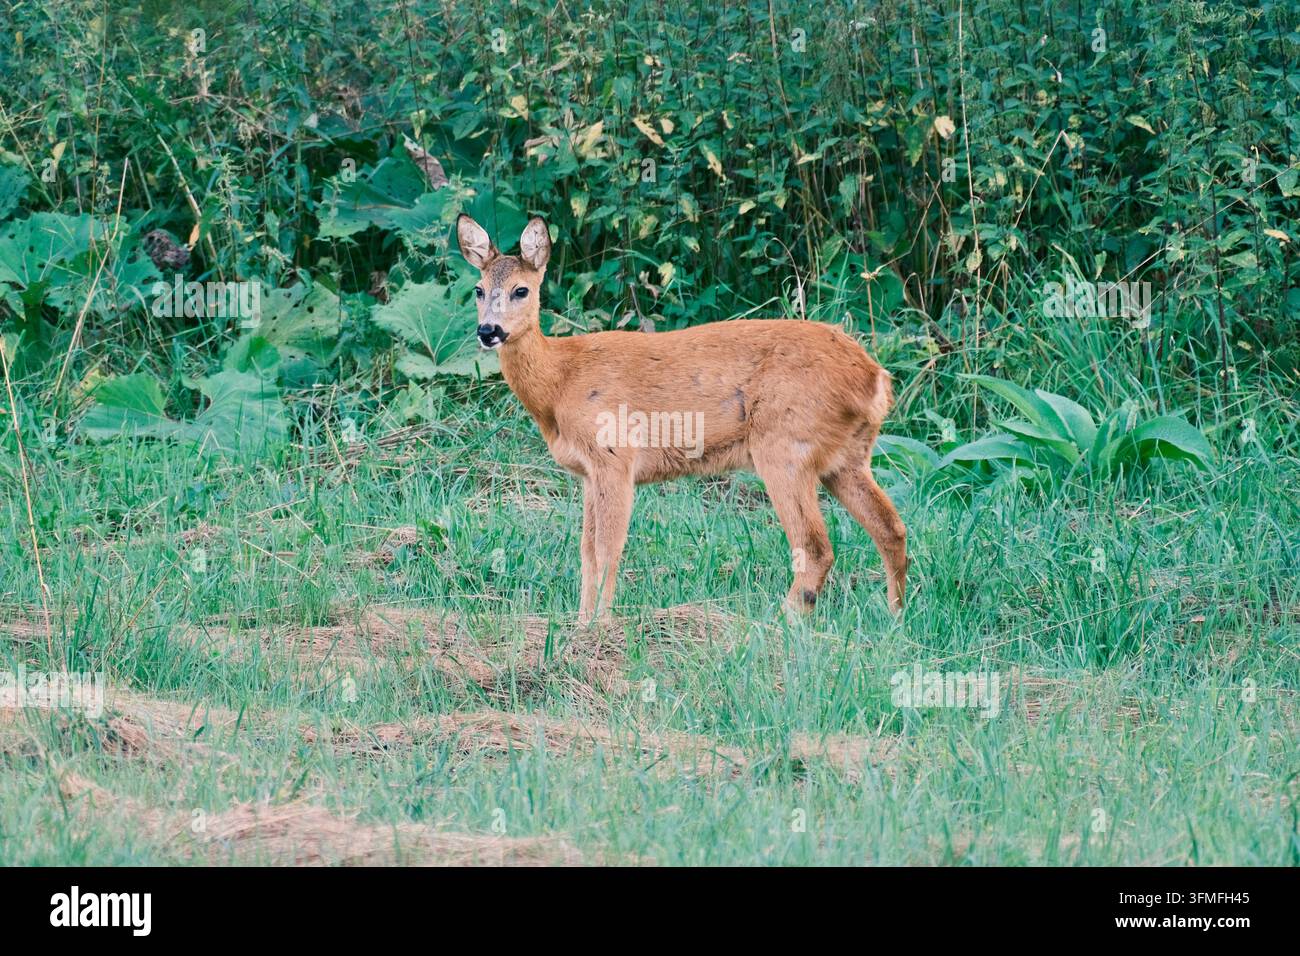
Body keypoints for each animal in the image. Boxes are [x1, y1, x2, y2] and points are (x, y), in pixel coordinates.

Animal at [457, 213, 908, 624]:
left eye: (521, 290)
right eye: (478, 289)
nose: (488, 331)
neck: (560, 382)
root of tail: (875, 379)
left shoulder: (615, 455)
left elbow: (607, 548)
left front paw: (600, 625)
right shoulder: (587, 473)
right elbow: (586, 551)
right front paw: (582, 623)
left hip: (785, 445)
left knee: (815, 546)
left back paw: (780, 621)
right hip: (847, 457)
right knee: (891, 527)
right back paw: (895, 614)